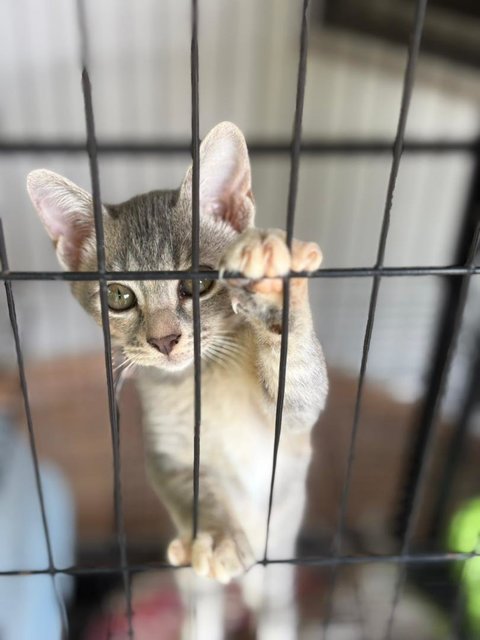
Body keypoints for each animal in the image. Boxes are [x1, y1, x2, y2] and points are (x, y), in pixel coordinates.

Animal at [26, 122, 326, 636]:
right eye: (119, 296)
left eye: (198, 283)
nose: (165, 339)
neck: (203, 381)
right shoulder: (167, 455)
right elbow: (193, 491)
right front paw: (217, 537)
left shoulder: (293, 423)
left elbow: (300, 383)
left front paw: (272, 291)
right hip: (196, 594)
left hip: (277, 580)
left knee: (273, 608)